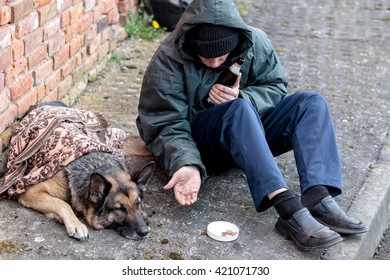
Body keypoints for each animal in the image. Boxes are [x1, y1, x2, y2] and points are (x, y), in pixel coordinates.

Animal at [0, 101, 155, 241]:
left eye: (138, 203)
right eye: (119, 209)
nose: (144, 232)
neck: (96, 164)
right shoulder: (31, 192)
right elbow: (62, 203)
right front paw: (76, 224)